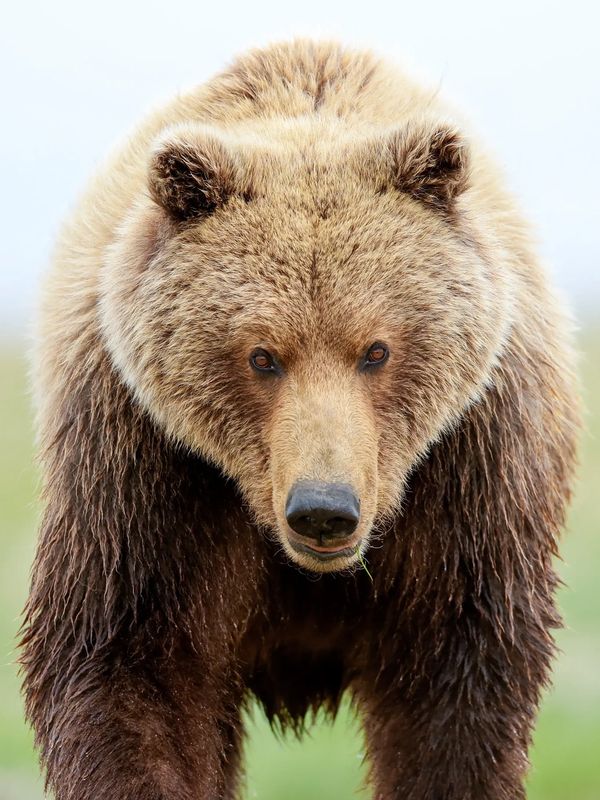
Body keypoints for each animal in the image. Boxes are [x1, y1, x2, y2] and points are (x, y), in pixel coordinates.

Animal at [20, 39, 579, 800]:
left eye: (376, 349)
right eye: (262, 355)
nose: (324, 511)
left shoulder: (470, 467)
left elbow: (457, 688)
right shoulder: (143, 466)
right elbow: (130, 665)